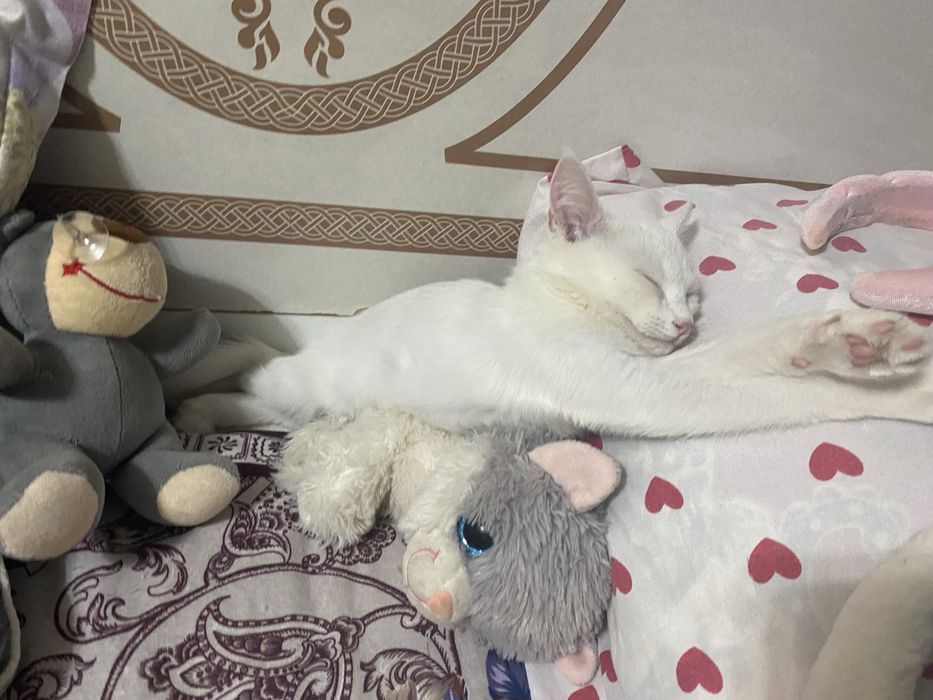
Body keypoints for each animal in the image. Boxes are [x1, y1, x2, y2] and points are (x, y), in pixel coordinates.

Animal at [172, 154, 933, 437]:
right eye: (649, 281)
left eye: (692, 295)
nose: (682, 323)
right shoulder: (631, 389)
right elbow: (776, 397)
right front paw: (903, 393)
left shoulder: (653, 368)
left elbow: (758, 351)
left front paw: (850, 341)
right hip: (301, 388)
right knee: (254, 363)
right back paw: (198, 398)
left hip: (305, 413)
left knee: (257, 389)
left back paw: (199, 406)